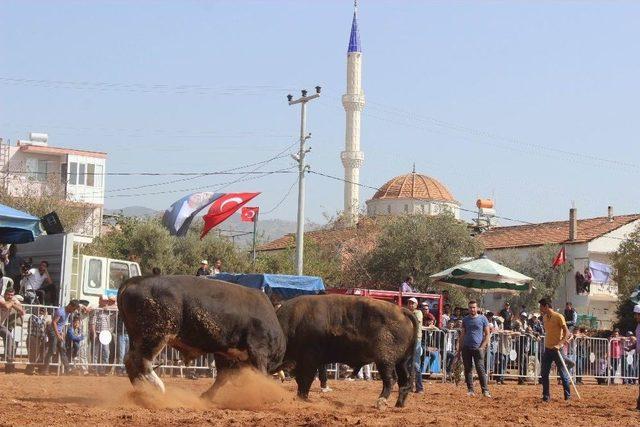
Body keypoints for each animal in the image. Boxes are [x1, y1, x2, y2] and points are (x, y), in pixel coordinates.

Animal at [117, 276, 284, 400]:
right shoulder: (258, 351)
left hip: (138, 338)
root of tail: (134, 281)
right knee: (141, 361)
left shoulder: (224, 352)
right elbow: (260, 376)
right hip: (155, 336)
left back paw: (142, 389)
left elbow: (223, 377)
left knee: (130, 361)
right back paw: (158, 389)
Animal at [276, 294, 418, 408]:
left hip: (384, 361)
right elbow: (303, 380)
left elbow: (305, 380)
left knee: (391, 379)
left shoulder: (309, 362)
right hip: (401, 362)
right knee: (403, 380)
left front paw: (302, 398)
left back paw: (381, 402)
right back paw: (399, 404)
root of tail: (402, 310)